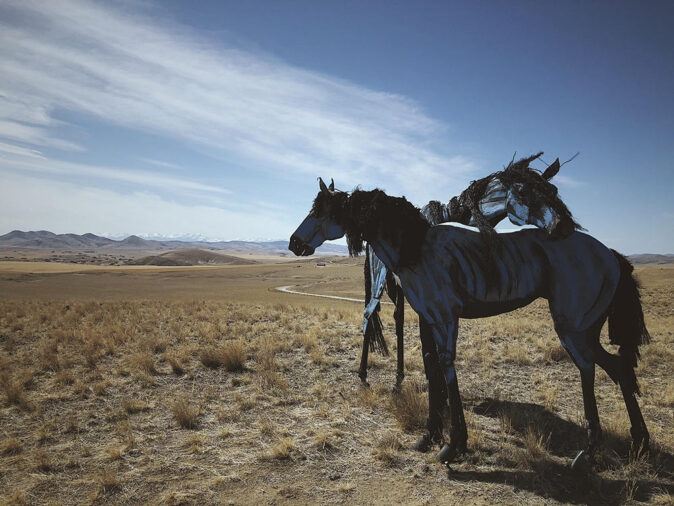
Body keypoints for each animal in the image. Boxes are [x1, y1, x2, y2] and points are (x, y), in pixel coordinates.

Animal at [289, 178, 650, 468]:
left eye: (321, 211)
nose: (294, 243)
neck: (417, 247)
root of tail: (609, 254)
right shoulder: (428, 319)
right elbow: (433, 367)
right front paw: (430, 435)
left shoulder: (445, 319)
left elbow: (447, 369)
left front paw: (454, 444)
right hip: (587, 329)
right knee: (617, 367)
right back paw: (640, 441)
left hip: (572, 328)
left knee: (588, 369)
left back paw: (589, 452)